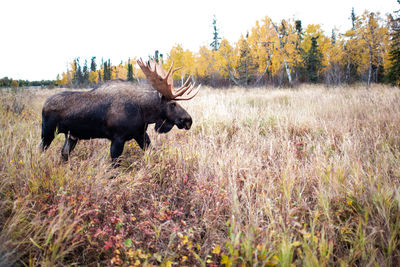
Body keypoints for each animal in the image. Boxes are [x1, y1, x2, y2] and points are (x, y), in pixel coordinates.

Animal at [40, 59, 200, 166]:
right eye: (173, 104)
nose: (188, 120)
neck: (144, 112)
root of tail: (44, 105)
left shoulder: (140, 134)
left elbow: (151, 151)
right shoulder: (117, 138)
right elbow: (115, 165)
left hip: (72, 136)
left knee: (63, 154)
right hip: (48, 132)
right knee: (40, 150)